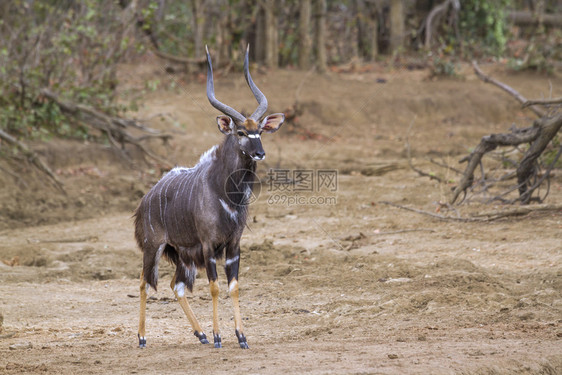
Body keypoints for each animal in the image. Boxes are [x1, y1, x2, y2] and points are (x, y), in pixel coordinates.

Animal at [133, 46, 282, 350]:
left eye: (260, 131)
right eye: (240, 132)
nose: (260, 153)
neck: (226, 194)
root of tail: (146, 199)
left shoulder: (233, 246)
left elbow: (233, 287)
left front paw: (241, 337)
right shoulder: (208, 246)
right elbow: (214, 287)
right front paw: (218, 337)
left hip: (180, 255)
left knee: (175, 285)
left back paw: (199, 334)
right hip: (153, 247)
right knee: (144, 282)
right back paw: (142, 338)